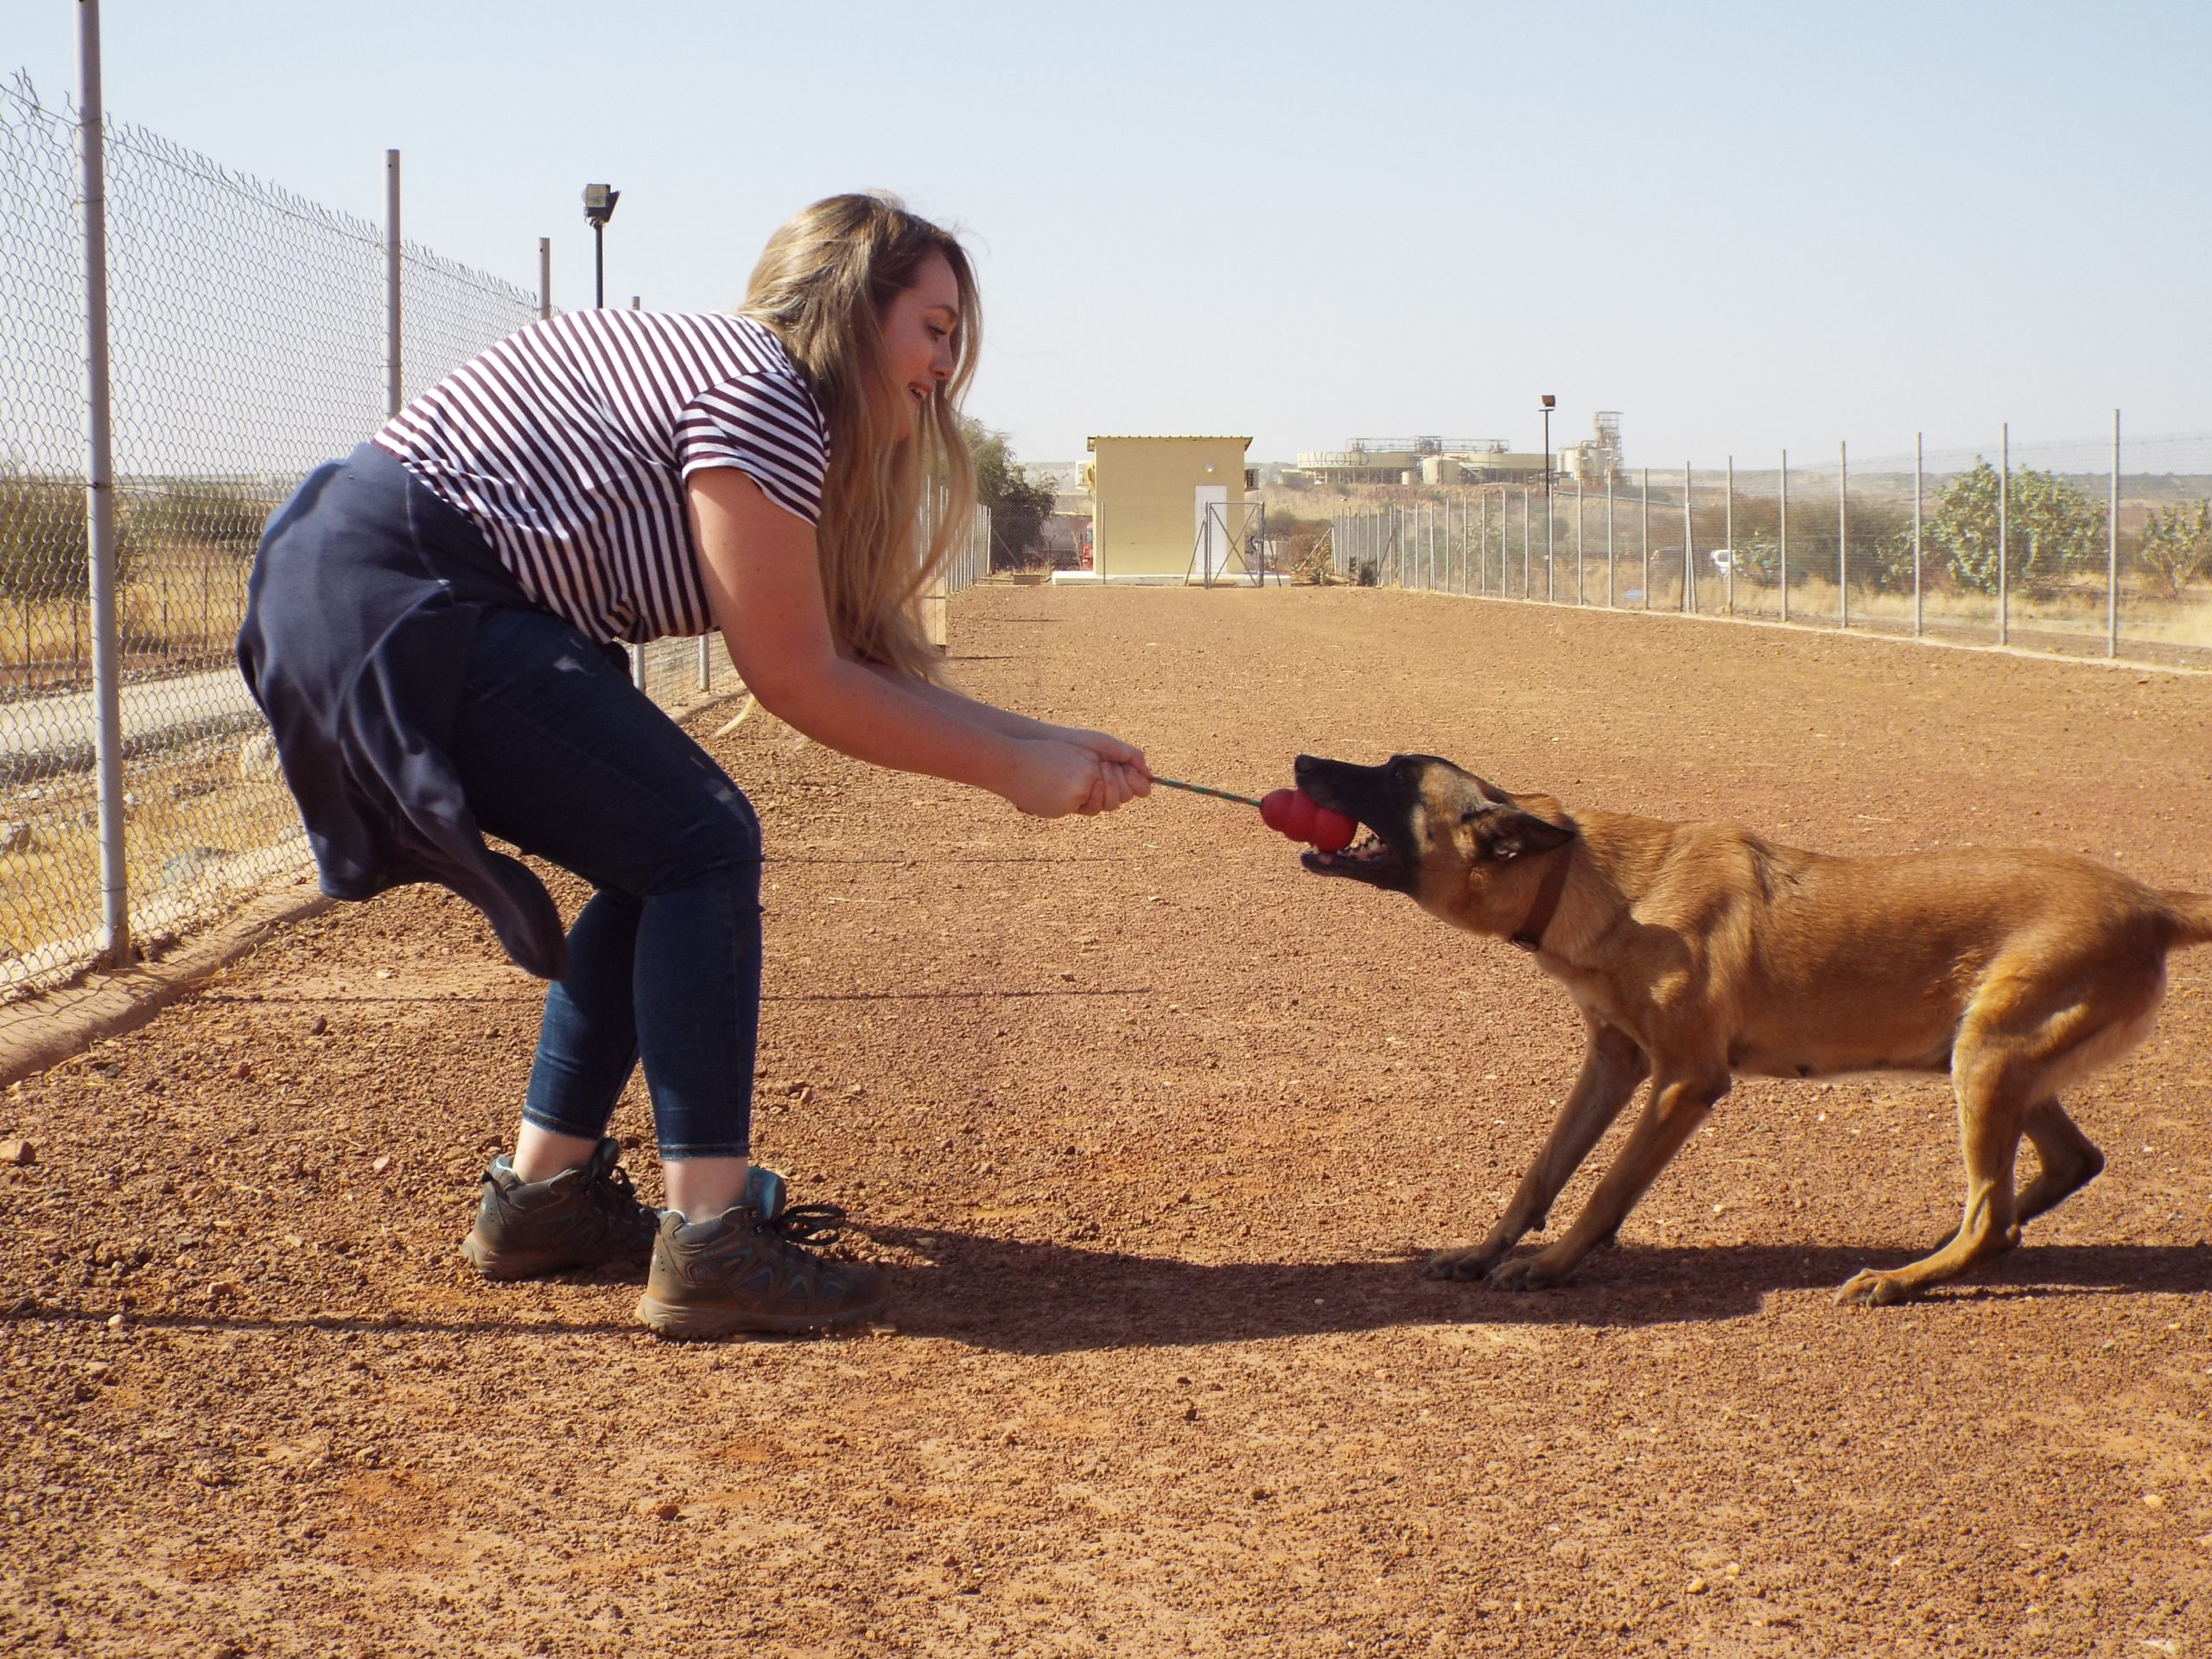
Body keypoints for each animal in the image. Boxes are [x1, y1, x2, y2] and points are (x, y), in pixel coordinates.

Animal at [1292, 752, 2212, 1309]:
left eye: (1394, 773)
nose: (1302, 762)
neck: (1591, 876)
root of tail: (2153, 902)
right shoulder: (1614, 1063)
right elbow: (1543, 1174)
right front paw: (1484, 1250)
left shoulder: (1685, 1081)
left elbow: (1604, 1189)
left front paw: (1552, 1268)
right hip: (1994, 1058)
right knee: (2062, 1170)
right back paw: (1937, 1249)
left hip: (1987, 1061)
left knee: (1995, 1217)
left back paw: (1901, 1279)